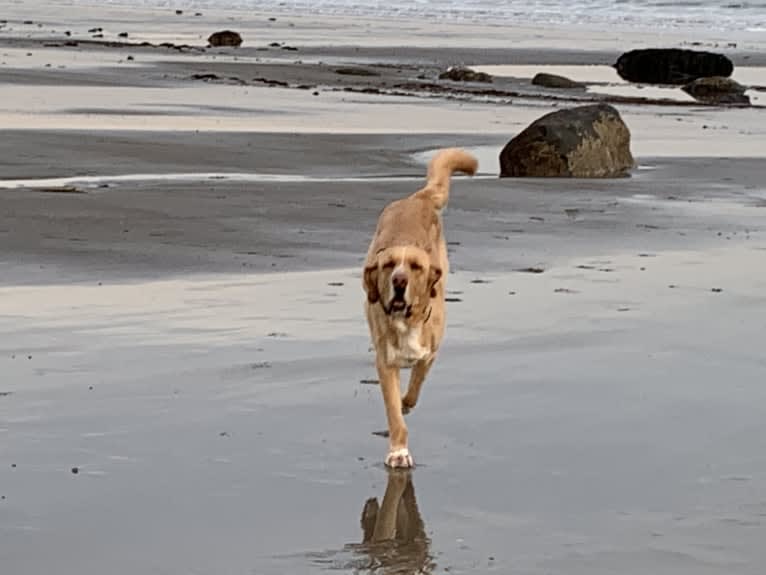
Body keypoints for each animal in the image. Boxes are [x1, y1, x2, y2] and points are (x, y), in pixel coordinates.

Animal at [362, 147, 480, 468]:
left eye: (415, 267)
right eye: (388, 265)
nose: (399, 280)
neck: (406, 320)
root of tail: (417, 199)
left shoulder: (430, 353)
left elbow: (415, 386)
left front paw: (406, 402)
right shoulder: (385, 363)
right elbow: (394, 413)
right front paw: (398, 451)